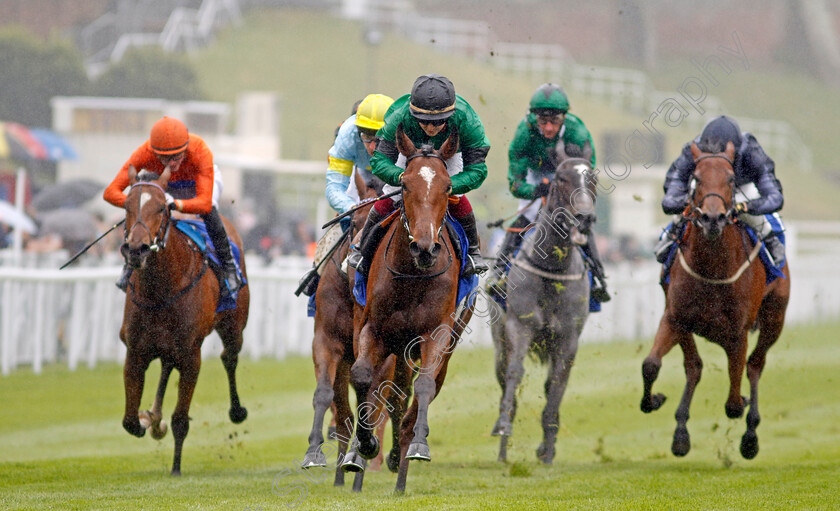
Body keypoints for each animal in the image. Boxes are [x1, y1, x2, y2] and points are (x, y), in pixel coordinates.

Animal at [119, 167, 249, 476]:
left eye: (160, 208)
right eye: (127, 206)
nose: (137, 250)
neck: (161, 290)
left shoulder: (191, 355)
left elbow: (180, 419)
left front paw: (176, 468)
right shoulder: (135, 350)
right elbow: (129, 421)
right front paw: (149, 420)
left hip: (234, 325)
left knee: (229, 357)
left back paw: (237, 411)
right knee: (167, 365)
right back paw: (154, 416)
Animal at [302, 172, 400, 492]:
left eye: (380, 222)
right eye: (354, 223)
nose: (354, 261)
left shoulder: (382, 354)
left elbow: (374, 403)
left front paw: (362, 458)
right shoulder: (326, 341)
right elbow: (325, 394)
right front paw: (314, 452)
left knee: (395, 403)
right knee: (345, 409)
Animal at [344, 123, 470, 492]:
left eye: (447, 187)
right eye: (404, 185)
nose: (425, 248)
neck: (413, 275)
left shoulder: (435, 333)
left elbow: (424, 386)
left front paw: (417, 446)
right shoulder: (373, 330)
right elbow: (362, 377)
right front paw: (365, 445)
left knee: (419, 391)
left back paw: (403, 452)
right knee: (390, 393)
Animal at [488, 146, 600, 466]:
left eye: (594, 178)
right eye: (561, 178)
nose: (584, 218)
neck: (552, 267)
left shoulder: (568, 338)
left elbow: (556, 385)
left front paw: (547, 448)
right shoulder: (519, 326)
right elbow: (515, 374)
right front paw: (504, 426)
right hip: (499, 340)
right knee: (504, 378)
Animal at [640, 143, 792, 460]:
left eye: (731, 179)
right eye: (695, 178)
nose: (713, 218)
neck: (712, 267)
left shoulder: (738, 333)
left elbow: (734, 400)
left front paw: (745, 413)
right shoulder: (674, 317)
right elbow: (651, 365)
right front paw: (655, 400)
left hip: (775, 319)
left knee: (755, 366)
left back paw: (750, 437)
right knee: (694, 366)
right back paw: (681, 433)